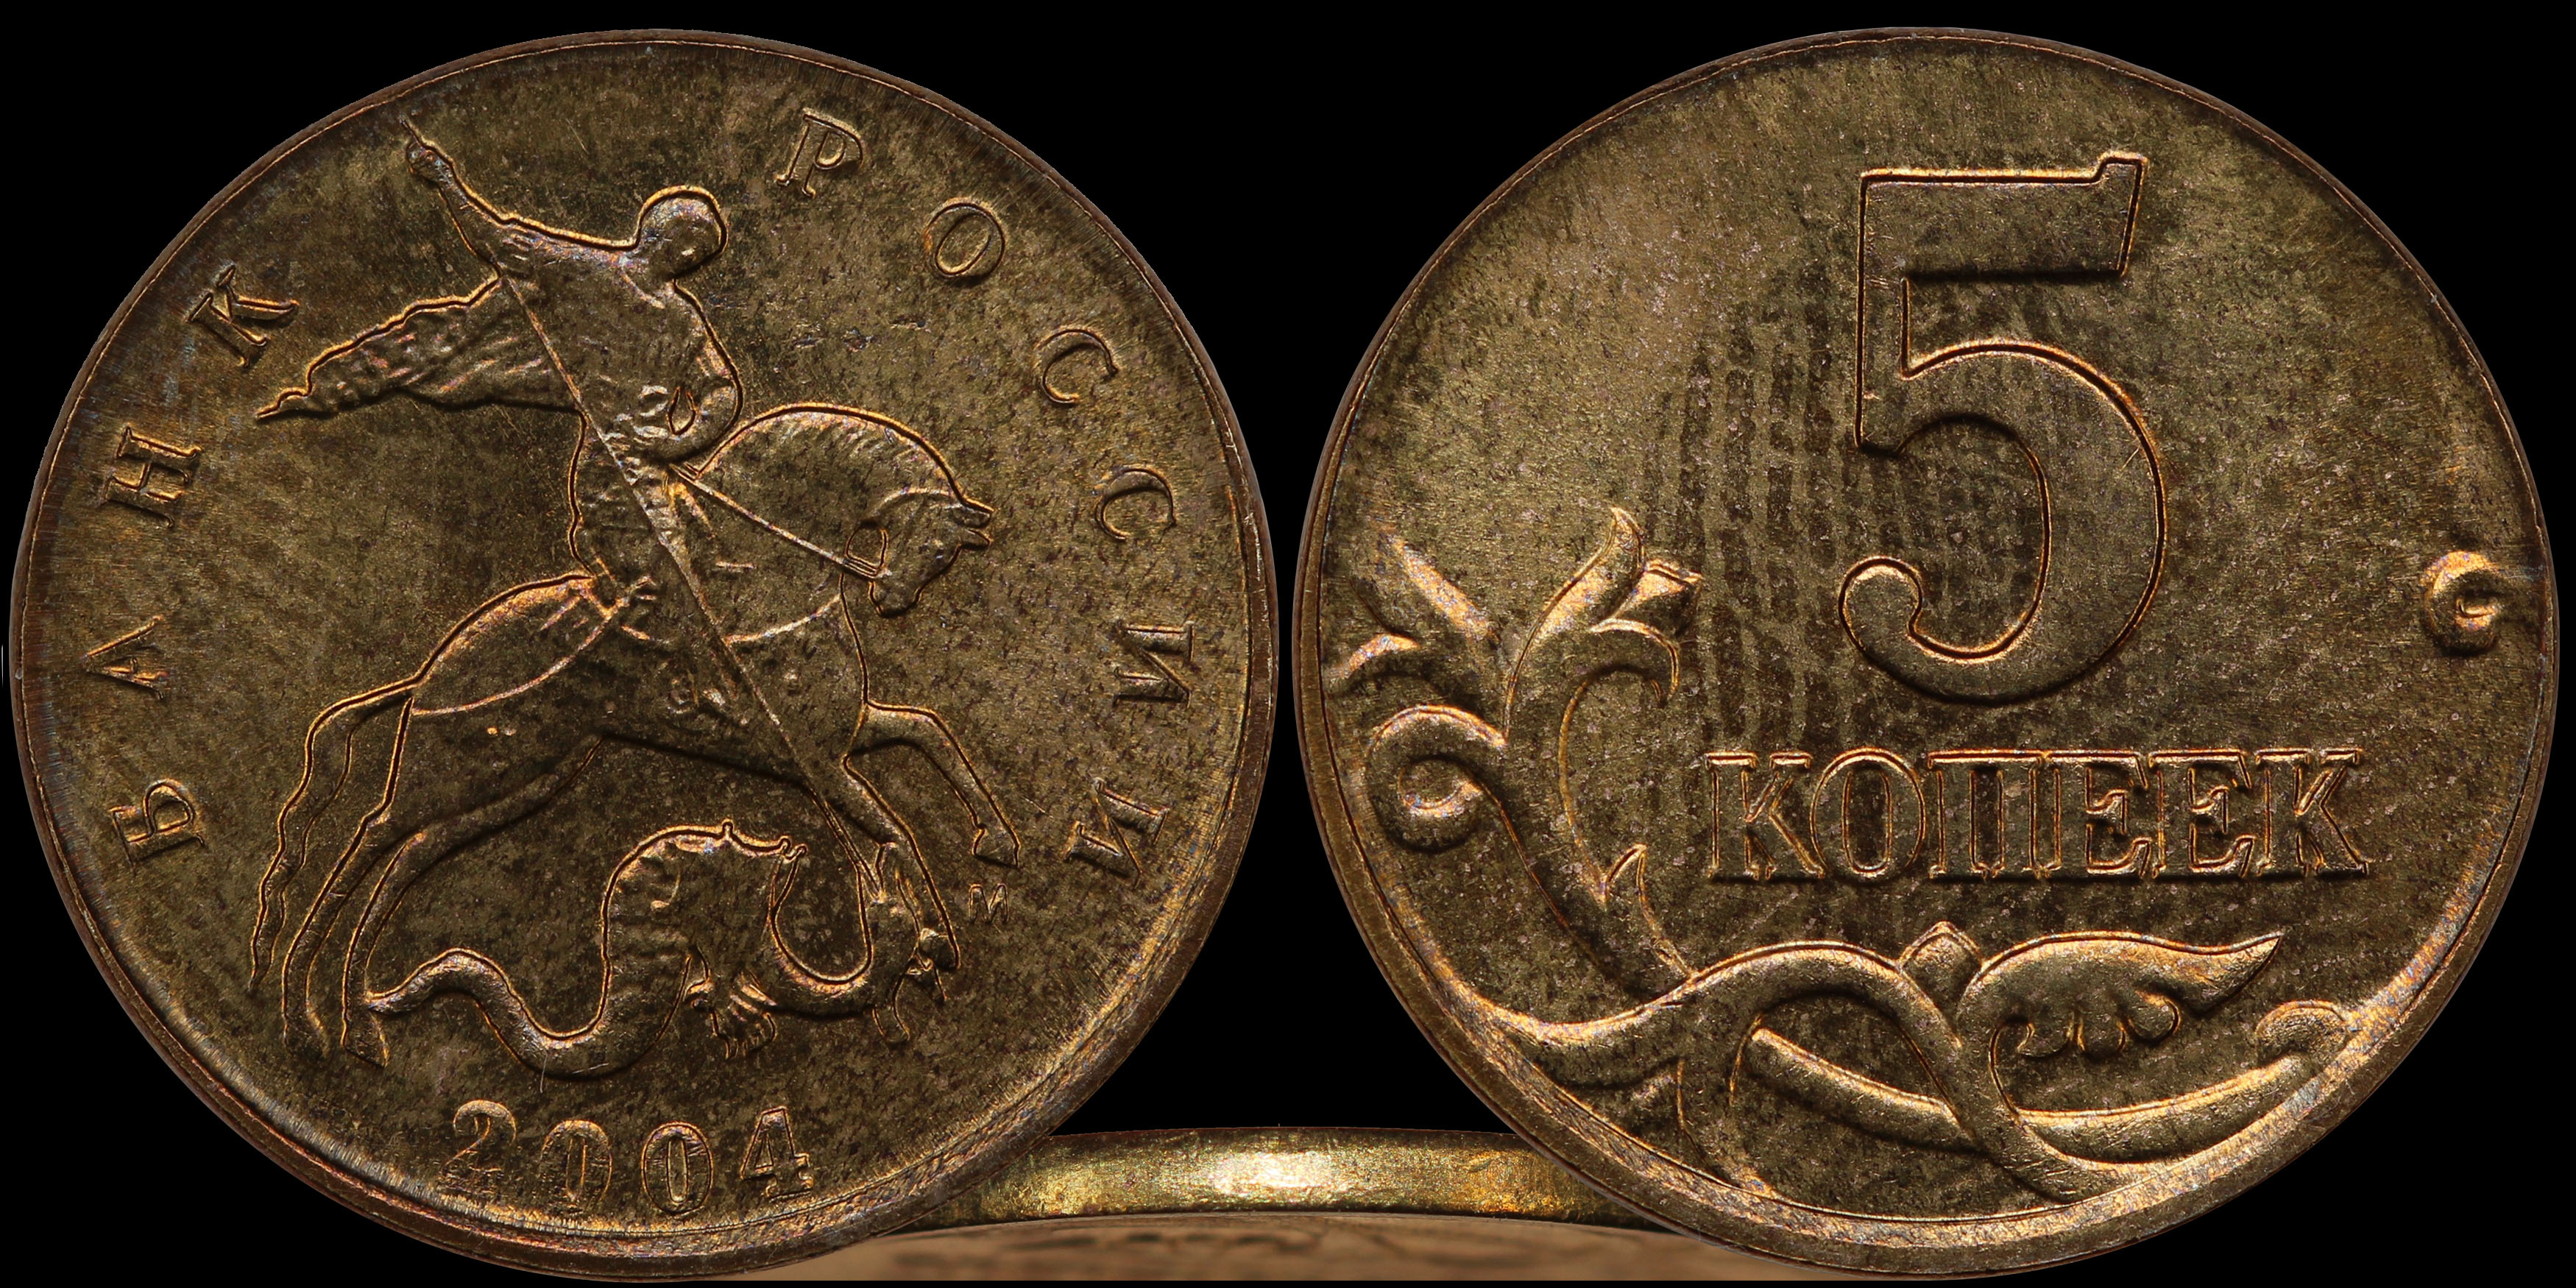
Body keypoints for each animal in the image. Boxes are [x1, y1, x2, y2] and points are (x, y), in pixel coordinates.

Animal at [247, 403, 1018, 1064]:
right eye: (941, 547)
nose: (894, 600)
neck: (767, 583)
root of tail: (434, 668)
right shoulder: (819, 760)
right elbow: (896, 826)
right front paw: (934, 936)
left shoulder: (839, 736)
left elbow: (928, 735)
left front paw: (992, 848)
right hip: (450, 772)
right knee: (368, 840)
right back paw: (305, 1017)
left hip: (520, 780)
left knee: (405, 861)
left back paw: (359, 1021)